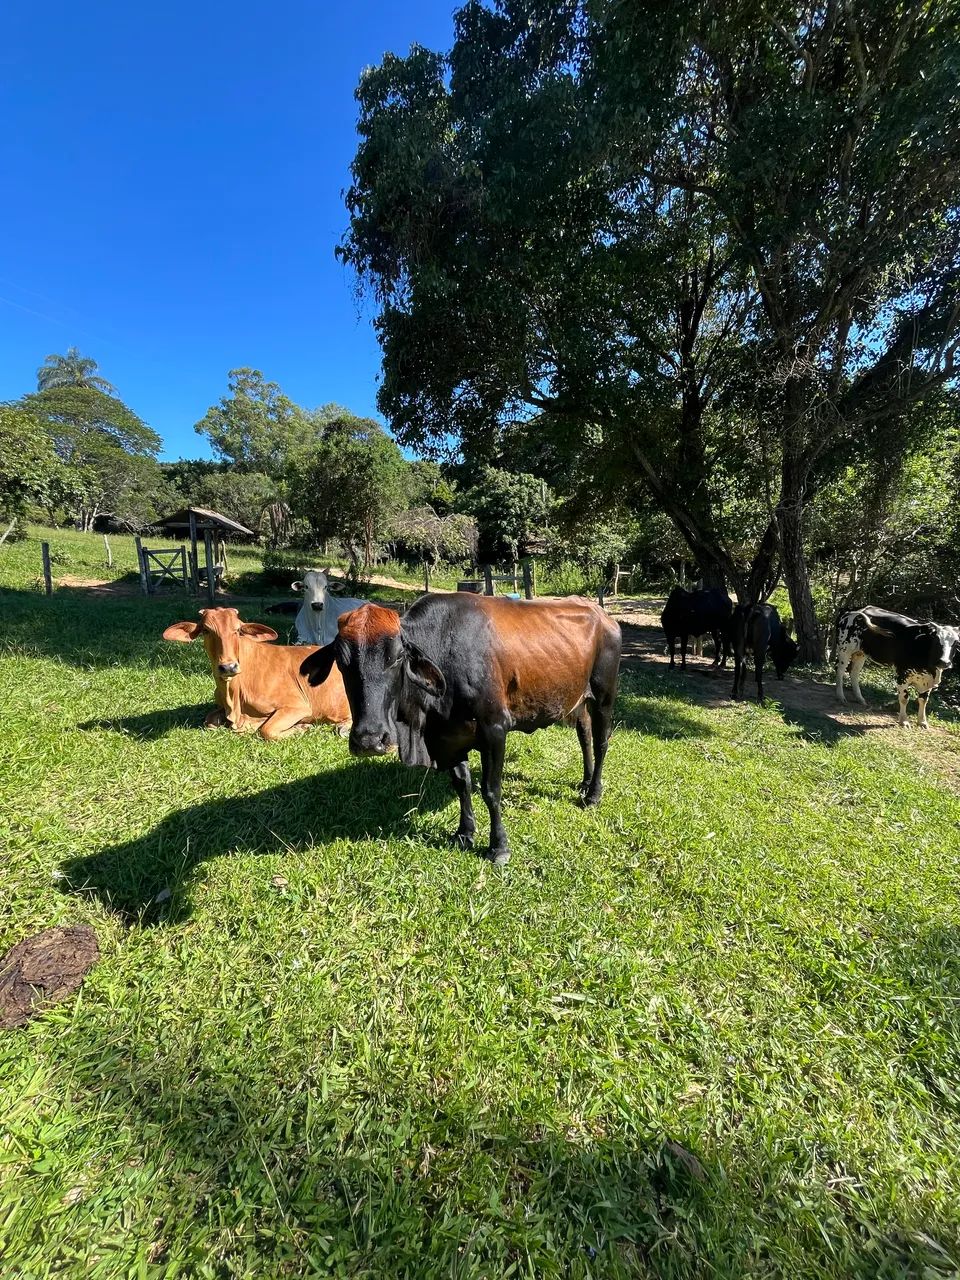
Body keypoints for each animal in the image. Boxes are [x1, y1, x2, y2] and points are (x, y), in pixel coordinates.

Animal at [162, 607, 350, 740]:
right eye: (206, 630)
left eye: (238, 630)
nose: (228, 667)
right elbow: (209, 720)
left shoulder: (298, 706)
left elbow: (266, 730)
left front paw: (301, 727)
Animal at [300, 593, 622, 866]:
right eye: (342, 661)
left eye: (397, 657)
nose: (369, 739)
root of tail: (602, 614)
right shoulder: (449, 739)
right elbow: (462, 784)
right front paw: (465, 833)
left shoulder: (495, 729)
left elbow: (491, 790)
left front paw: (498, 847)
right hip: (577, 699)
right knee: (584, 736)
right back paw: (584, 783)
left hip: (604, 696)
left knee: (602, 741)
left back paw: (593, 793)